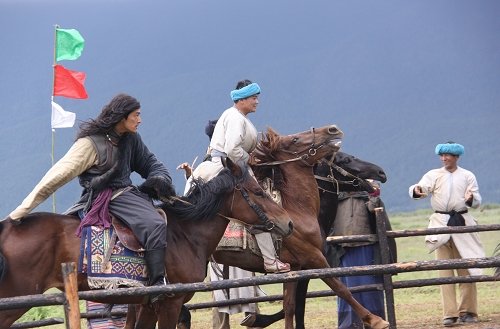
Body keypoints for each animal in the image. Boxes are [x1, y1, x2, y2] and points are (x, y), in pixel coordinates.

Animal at [211, 126, 390, 328]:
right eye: (345, 160)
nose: (380, 173)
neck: (298, 210)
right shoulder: (313, 259)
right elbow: (339, 288)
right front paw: (375, 320)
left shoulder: (296, 269)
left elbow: (291, 306)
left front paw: (258, 319)